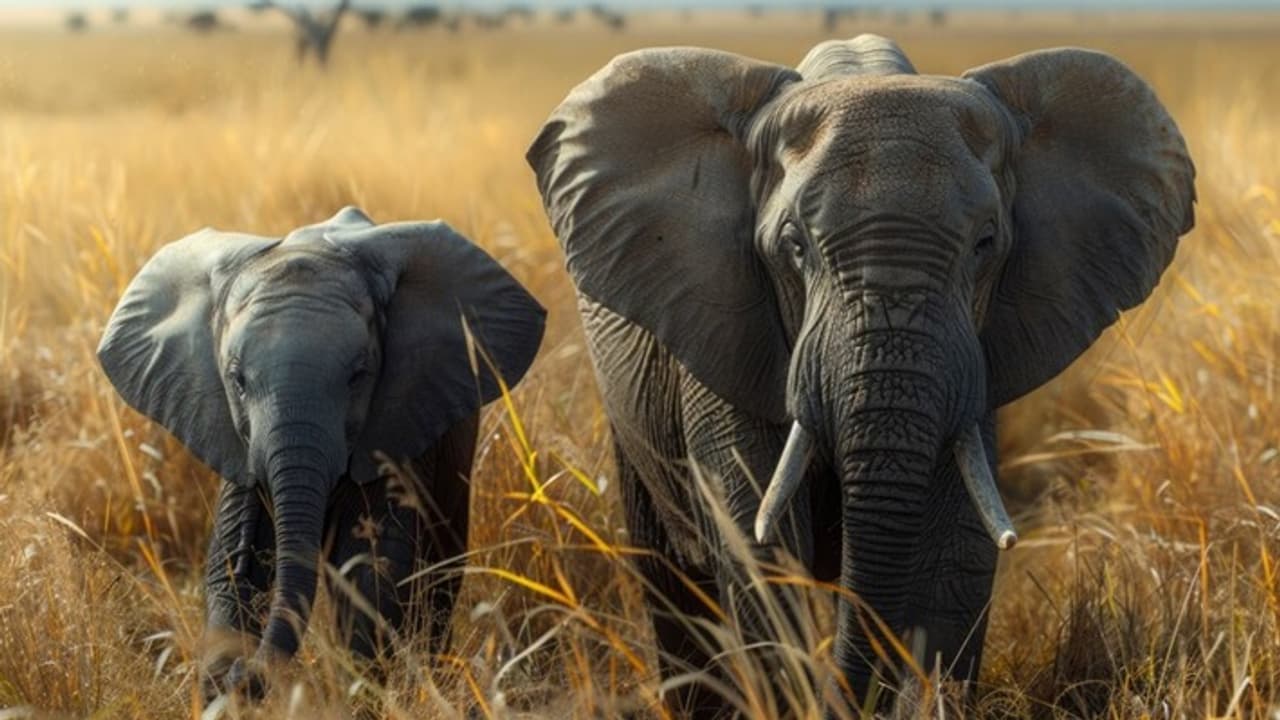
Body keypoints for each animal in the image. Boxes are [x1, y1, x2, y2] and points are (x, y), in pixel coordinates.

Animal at [97, 206, 545, 699]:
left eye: (358, 376)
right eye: (237, 380)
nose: (245, 676)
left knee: (440, 567)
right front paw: (221, 685)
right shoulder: (237, 443)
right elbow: (231, 569)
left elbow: (372, 571)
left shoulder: (394, 425)